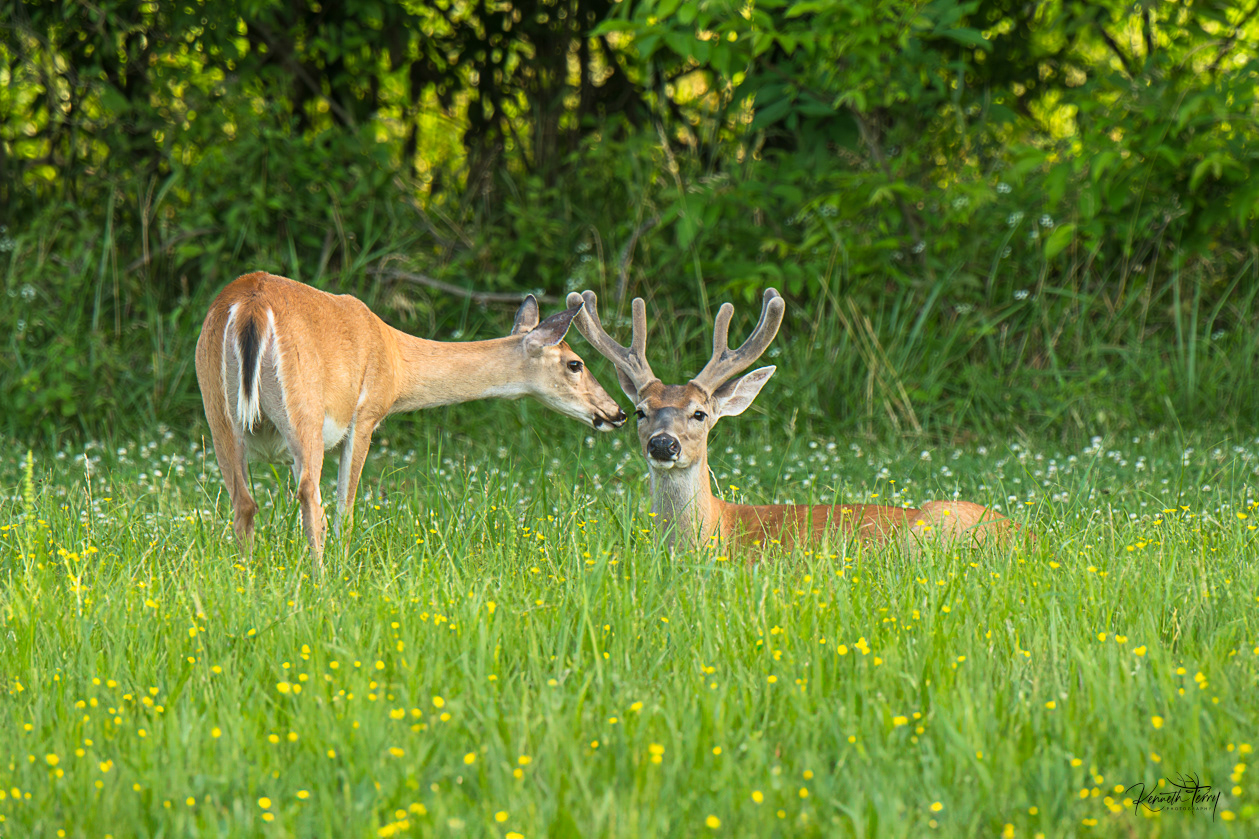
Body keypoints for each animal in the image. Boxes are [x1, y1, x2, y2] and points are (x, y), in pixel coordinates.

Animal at [195, 271, 626, 564]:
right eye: (575, 363)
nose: (616, 412)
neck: (397, 363)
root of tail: (249, 306)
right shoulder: (366, 414)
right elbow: (345, 507)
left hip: (217, 411)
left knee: (244, 502)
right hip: (303, 409)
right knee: (309, 496)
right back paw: (321, 578)